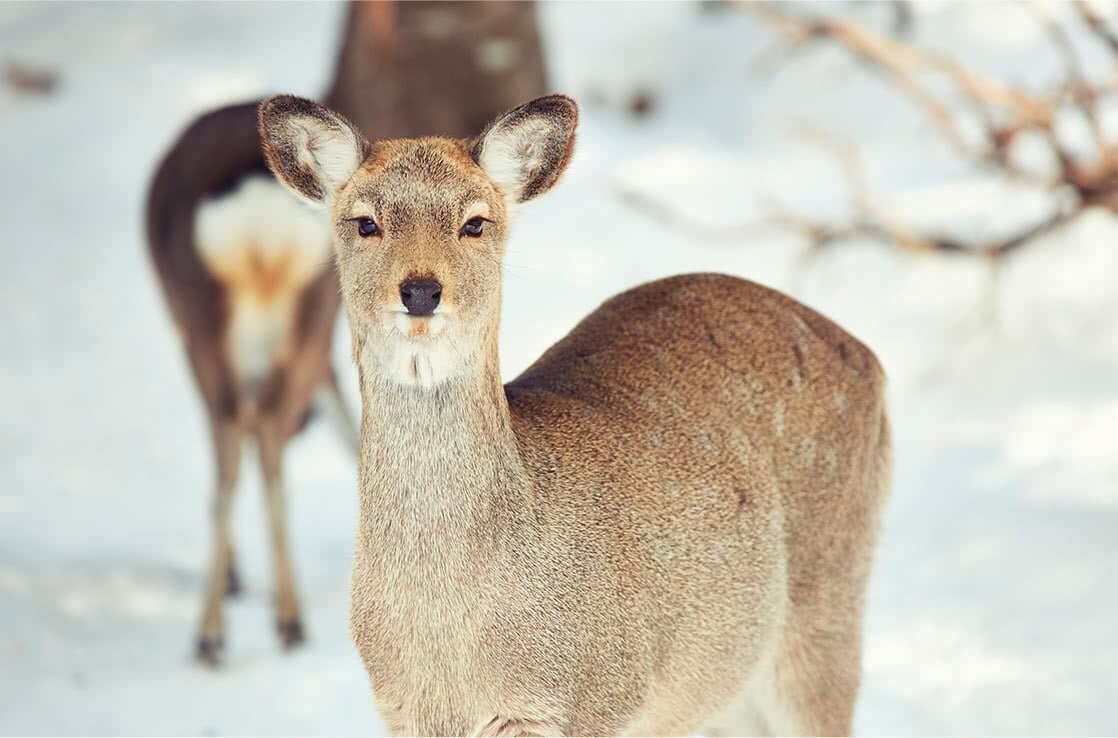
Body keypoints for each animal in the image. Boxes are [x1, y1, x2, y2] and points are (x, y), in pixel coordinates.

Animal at [259, 93, 889, 738]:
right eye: (365, 222)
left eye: (475, 222)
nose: (421, 290)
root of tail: (868, 357)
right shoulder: (400, 710)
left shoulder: (601, 698)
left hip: (826, 601)